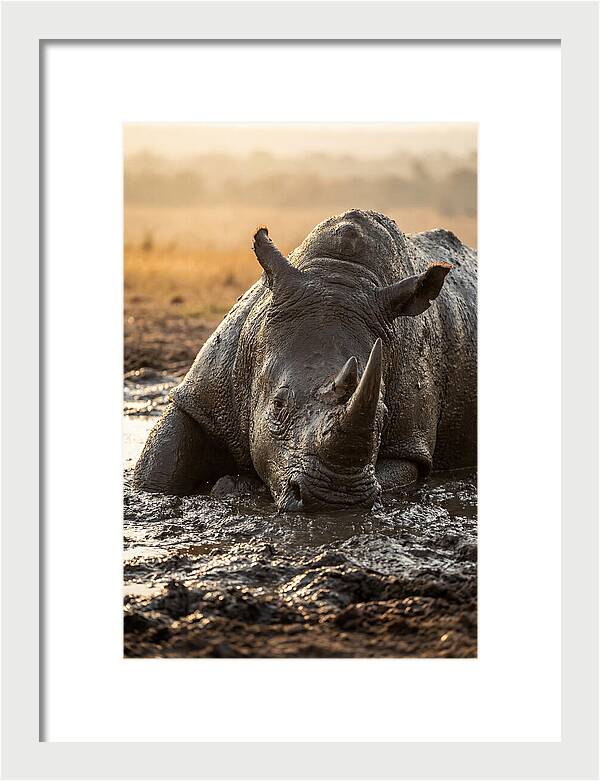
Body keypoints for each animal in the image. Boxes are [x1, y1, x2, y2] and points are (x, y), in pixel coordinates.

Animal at [133, 209, 477, 512]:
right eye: (278, 405)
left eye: (383, 414)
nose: (334, 499)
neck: (340, 274)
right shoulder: (201, 395)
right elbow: (159, 467)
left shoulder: (409, 444)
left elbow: (397, 473)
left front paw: (235, 486)